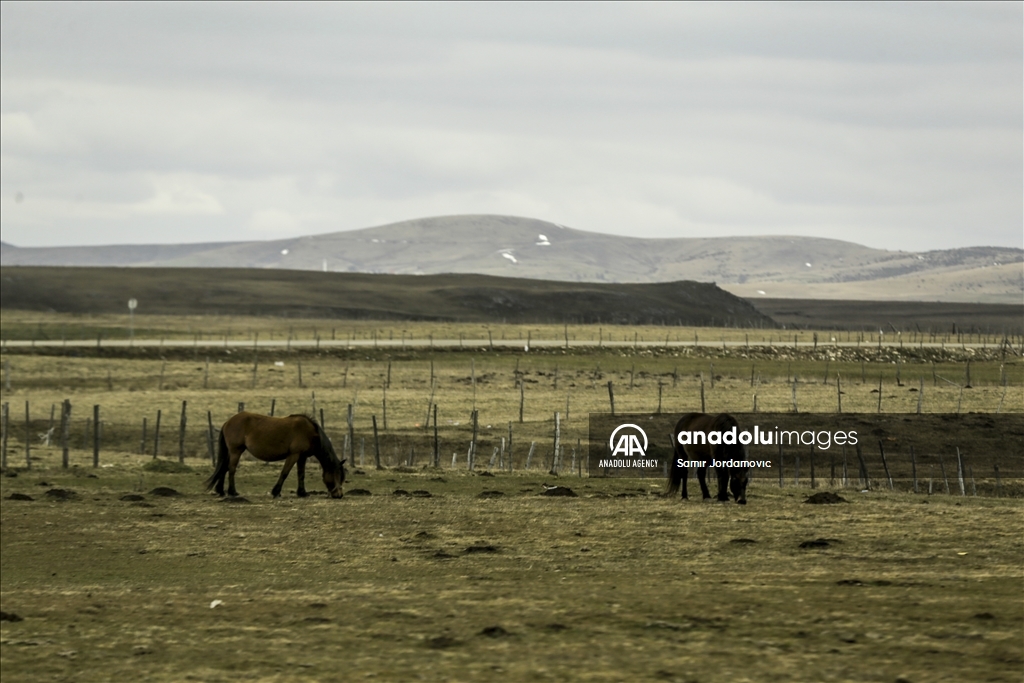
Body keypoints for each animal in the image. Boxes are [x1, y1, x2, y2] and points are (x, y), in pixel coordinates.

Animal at [205, 413, 346, 499]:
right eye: (336, 474)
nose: (339, 495)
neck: (310, 432)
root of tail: (228, 422)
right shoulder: (293, 455)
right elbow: (284, 473)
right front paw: (276, 492)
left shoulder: (302, 457)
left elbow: (301, 474)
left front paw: (302, 493)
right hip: (236, 451)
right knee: (231, 469)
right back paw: (232, 491)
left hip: (232, 452)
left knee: (224, 468)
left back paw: (221, 491)